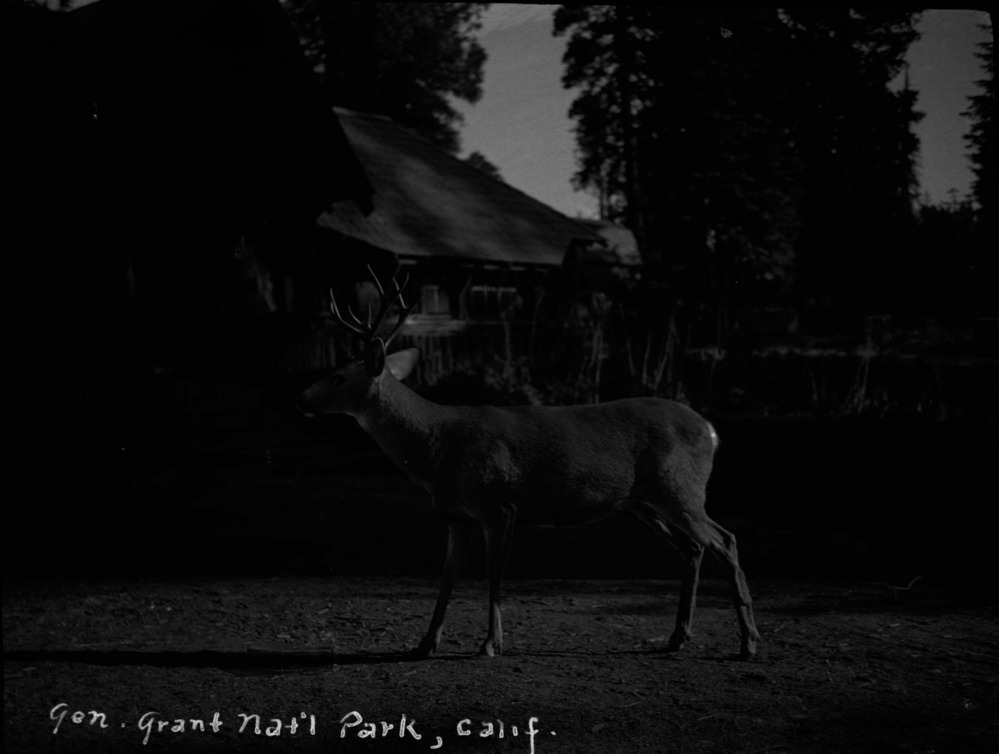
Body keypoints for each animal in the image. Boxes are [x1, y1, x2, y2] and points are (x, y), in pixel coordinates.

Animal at [297, 267, 760, 660]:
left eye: (338, 377)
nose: (301, 398)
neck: (436, 446)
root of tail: (710, 429)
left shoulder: (499, 504)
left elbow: (494, 577)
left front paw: (490, 644)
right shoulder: (457, 515)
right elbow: (446, 579)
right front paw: (425, 643)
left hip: (679, 488)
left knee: (725, 540)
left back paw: (749, 643)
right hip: (643, 501)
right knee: (694, 547)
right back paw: (677, 638)